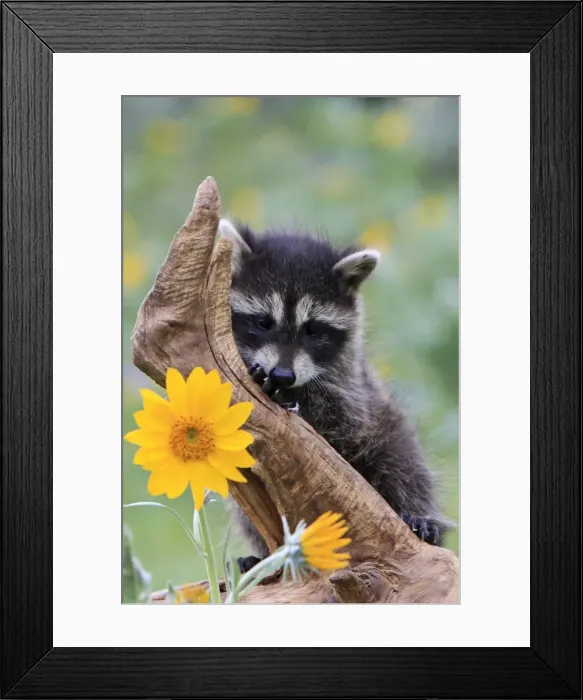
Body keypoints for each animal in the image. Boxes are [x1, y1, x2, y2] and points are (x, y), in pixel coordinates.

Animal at [219, 218, 450, 567]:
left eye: (313, 329)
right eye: (263, 322)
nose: (283, 375)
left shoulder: (355, 387)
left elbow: (345, 422)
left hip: (390, 435)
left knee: (404, 462)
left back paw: (417, 513)